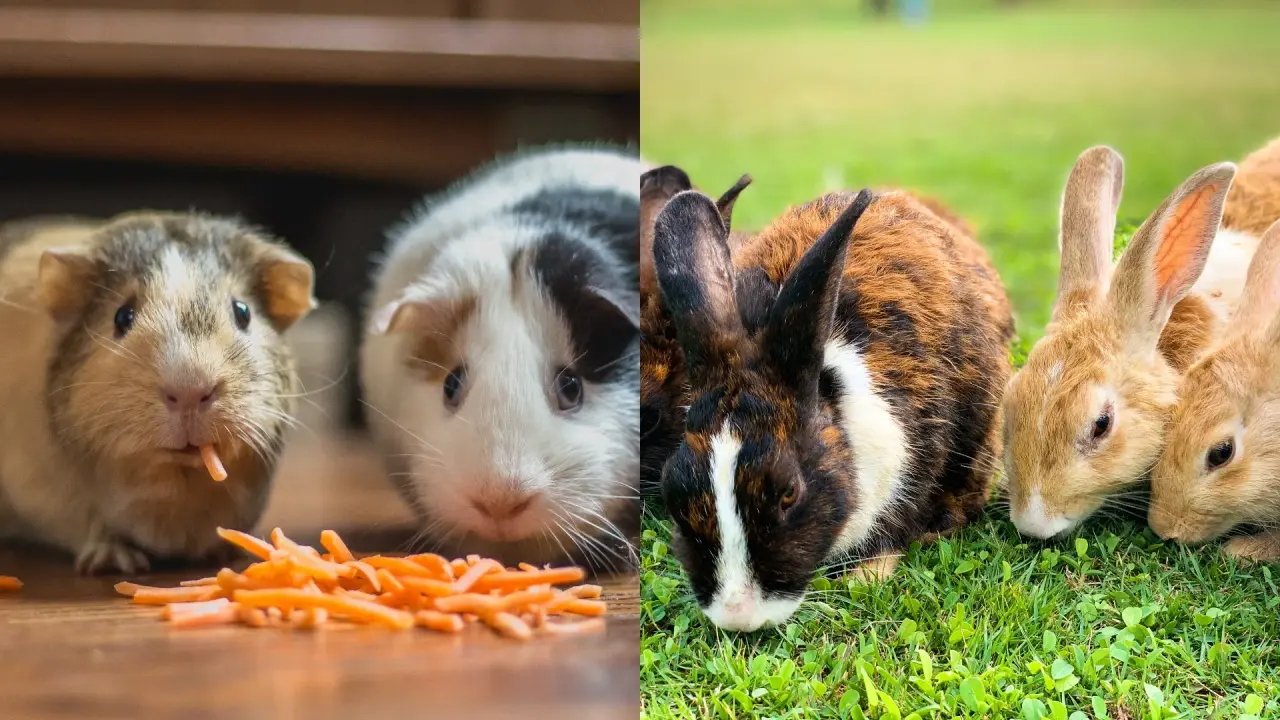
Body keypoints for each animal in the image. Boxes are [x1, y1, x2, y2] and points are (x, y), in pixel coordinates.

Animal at [0, 212, 315, 574]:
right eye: (122, 316)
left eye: (242, 312)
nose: (191, 390)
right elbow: (95, 527)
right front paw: (118, 562)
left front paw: (227, 553)